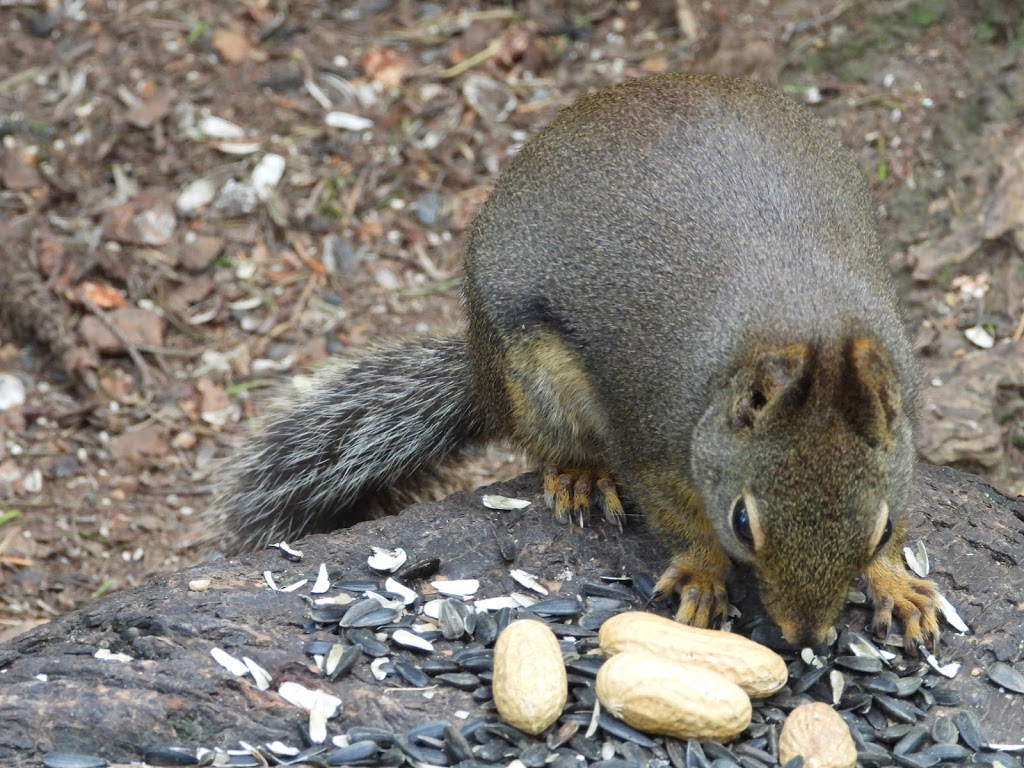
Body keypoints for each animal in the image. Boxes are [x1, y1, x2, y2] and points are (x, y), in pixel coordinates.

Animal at [209, 72, 942, 651]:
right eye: (741, 522)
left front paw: (896, 583)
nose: (804, 636)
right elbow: (678, 520)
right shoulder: (652, 438)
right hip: (532, 378)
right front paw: (703, 574)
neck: (808, 329)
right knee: (545, 442)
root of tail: (481, 370)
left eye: (878, 529)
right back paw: (582, 475)